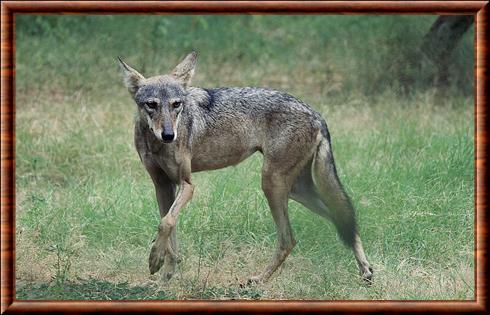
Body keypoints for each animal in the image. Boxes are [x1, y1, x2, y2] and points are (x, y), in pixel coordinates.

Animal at [117, 51, 372, 284]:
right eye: (151, 105)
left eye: (176, 105)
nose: (169, 135)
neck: (155, 143)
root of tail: (317, 114)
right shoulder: (163, 186)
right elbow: (170, 230)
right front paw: (165, 274)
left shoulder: (187, 185)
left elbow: (166, 223)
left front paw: (155, 260)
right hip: (296, 191)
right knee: (342, 219)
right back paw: (366, 271)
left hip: (272, 184)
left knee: (289, 239)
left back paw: (260, 279)